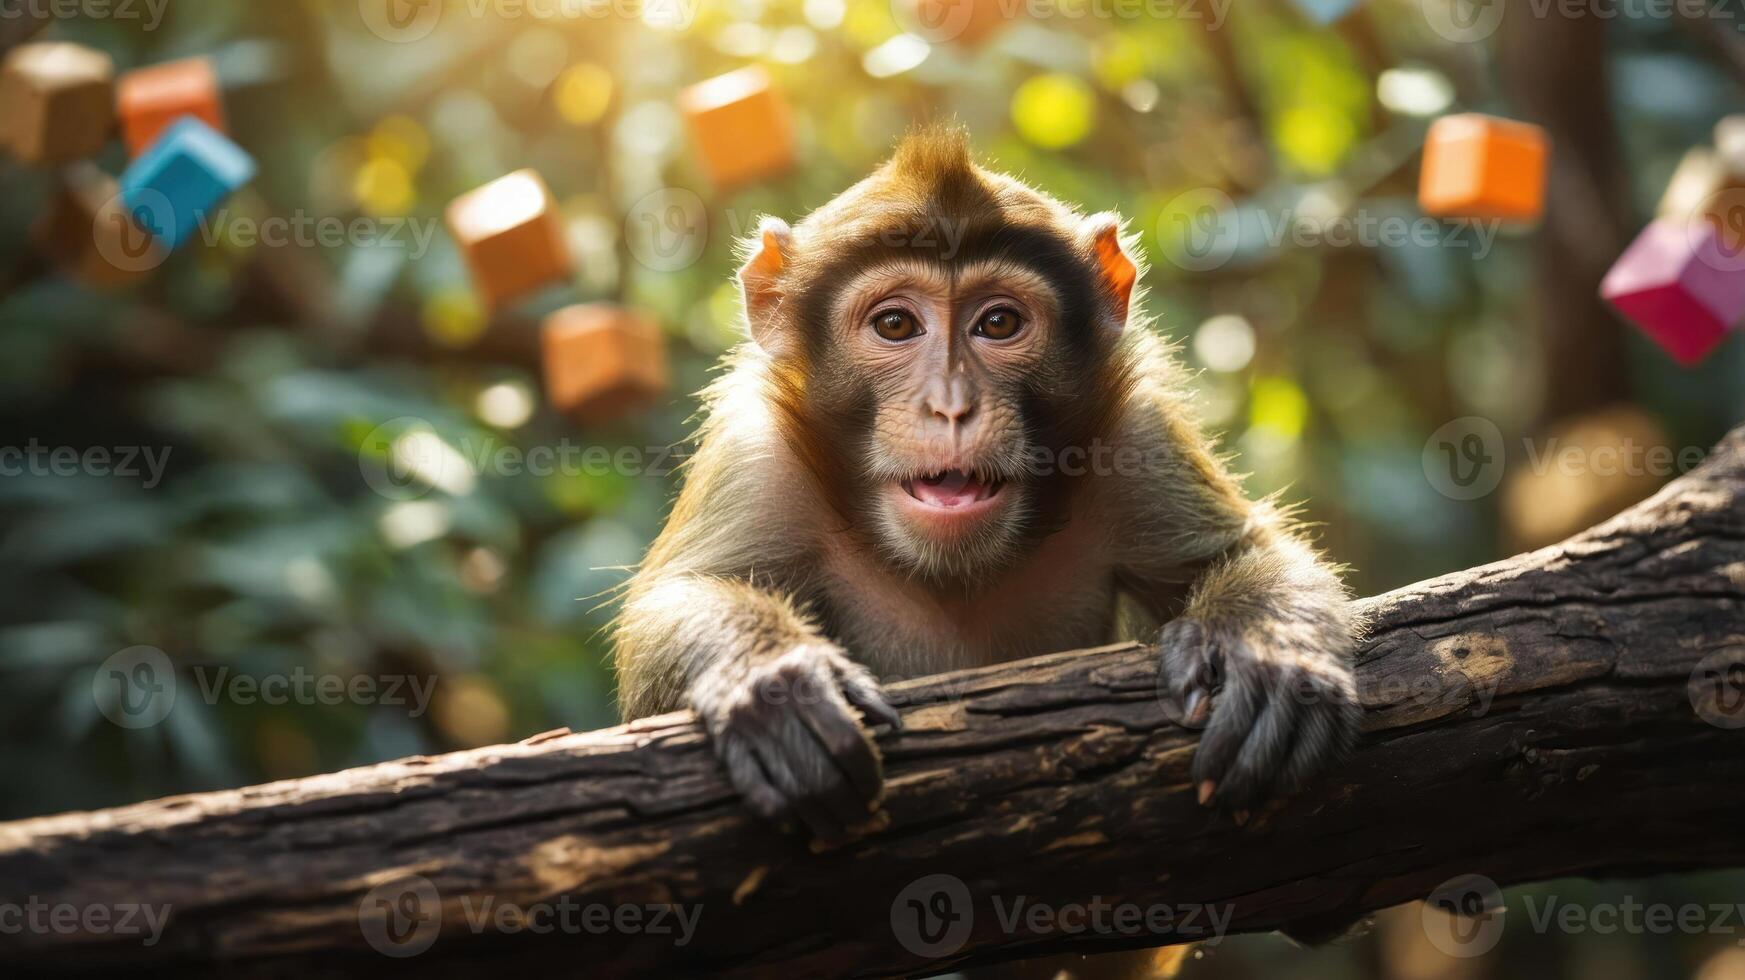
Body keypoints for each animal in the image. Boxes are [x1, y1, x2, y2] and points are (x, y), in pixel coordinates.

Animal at [611, 126, 1359, 864]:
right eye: (895, 325)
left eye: (998, 324)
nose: (950, 406)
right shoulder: (758, 459)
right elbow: (668, 612)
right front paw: (772, 675)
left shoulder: (1135, 437)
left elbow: (1245, 552)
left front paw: (1267, 649)